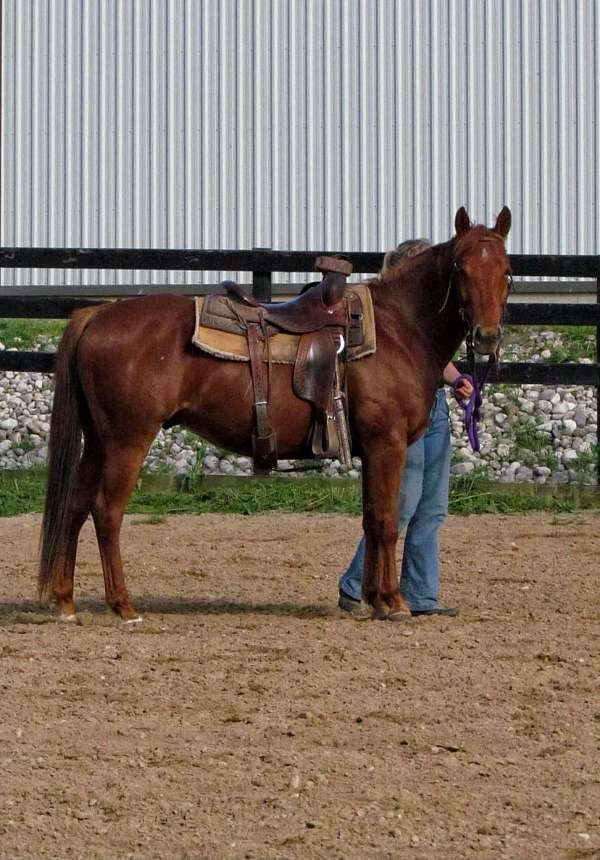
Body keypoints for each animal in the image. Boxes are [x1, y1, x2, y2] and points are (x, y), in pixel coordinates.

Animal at [38, 206, 512, 623]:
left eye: (506, 271)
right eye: (461, 269)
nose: (487, 336)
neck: (399, 329)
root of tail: (96, 313)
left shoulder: (372, 451)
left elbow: (369, 518)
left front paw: (371, 600)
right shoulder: (387, 445)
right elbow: (386, 519)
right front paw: (393, 602)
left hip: (97, 442)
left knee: (75, 506)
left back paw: (65, 602)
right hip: (127, 440)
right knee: (106, 511)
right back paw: (123, 605)